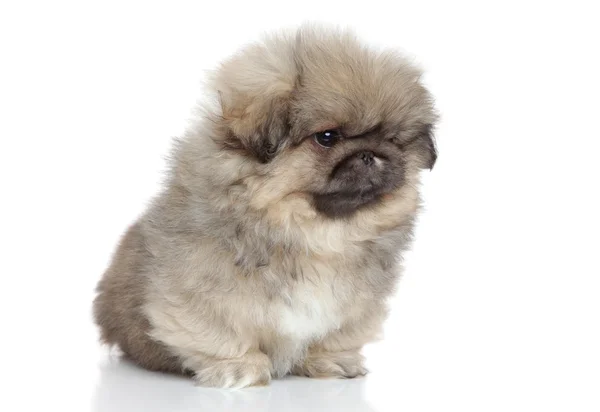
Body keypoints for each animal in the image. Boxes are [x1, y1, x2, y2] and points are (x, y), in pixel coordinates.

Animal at [95, 25, 440, 386]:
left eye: (393, 139)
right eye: (327, 137)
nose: (369, 154)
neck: (314, 233)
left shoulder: (356, 306)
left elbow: (337, 336)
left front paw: (332, 361)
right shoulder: (197, 294)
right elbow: (220, 335)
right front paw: (237, 369)